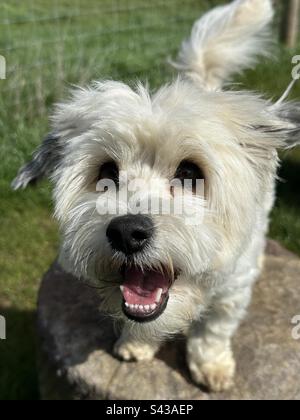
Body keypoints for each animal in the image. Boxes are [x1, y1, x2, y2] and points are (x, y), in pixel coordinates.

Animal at [12, 0, 300, 392]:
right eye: (107, 173)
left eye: (190, 173)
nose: (126, 232)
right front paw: (136, 344)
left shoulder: (231, 291)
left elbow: (213, 330)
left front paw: (211, 365)